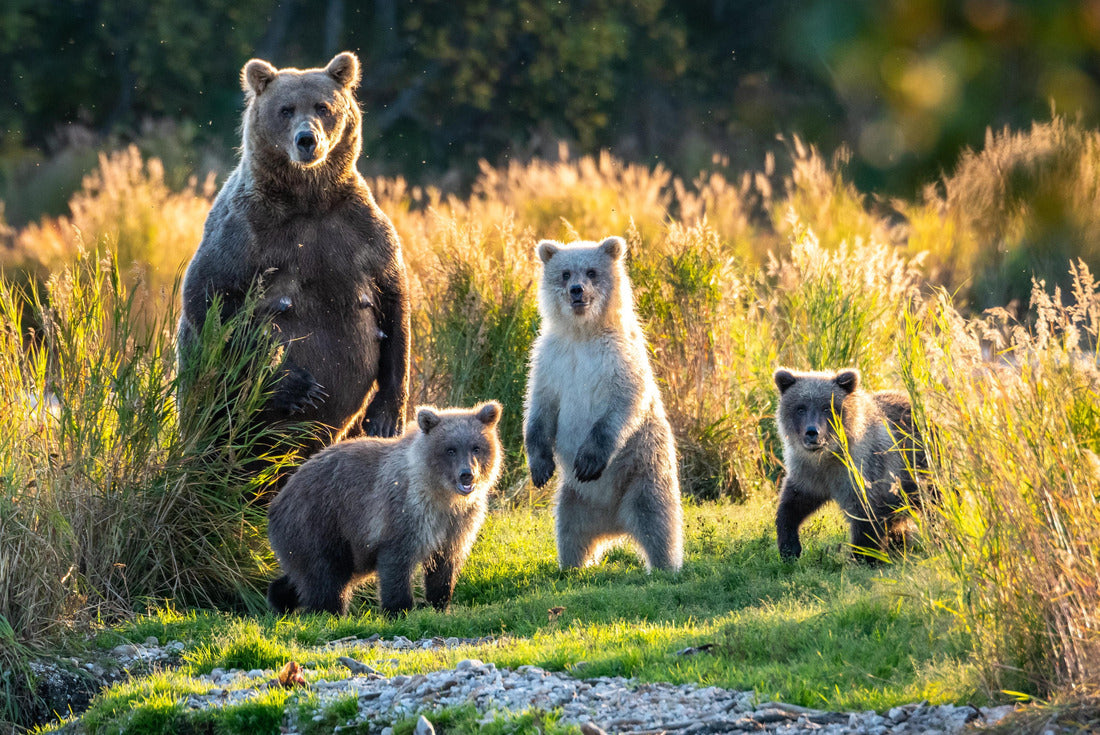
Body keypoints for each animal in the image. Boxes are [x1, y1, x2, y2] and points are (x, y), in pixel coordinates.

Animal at [178, 51, 410, 463]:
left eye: (323, 106)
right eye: (285, 109)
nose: (307, 140)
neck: (307, 200)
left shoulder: (359, 228)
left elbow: (393, 298)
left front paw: (385, 417)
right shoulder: (246, 230)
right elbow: (210, 298)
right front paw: (297, 385)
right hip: (211, 406)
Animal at [266, 401, 503, 616]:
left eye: (476, 447)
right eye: (450, 449)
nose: (467, 474)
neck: (442, 495)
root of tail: (278, 498)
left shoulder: (458, 522)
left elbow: (445, 565)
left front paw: (440, 605)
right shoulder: (404, 513)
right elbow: (396, 563)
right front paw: (399, 610)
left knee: (307, 575)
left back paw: (279, 600)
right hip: (319, 521)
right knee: (326, 576)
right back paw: (330, 613)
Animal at [524, 236, 683, 572]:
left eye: (592, 272)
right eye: (565, 273)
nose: (577, 290)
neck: (583, 334)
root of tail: (615, 525)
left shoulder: (619, 359)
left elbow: (622, 405)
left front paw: (588, 461)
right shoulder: (550, 361)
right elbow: (539, 409)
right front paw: (540, 468)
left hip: (643, 472)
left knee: (657, 519)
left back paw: (665, 565)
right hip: (574, 498)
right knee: (569, 530)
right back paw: (572, 565)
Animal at [773, 367, 926, 562]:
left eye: (826, 407)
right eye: (800, 408)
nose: (812, 432)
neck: (828, 455)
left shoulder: (863, 469)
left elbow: (866, 514)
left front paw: (863, 557)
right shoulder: (808, 472)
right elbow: (792, 504)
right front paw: (789, 548)